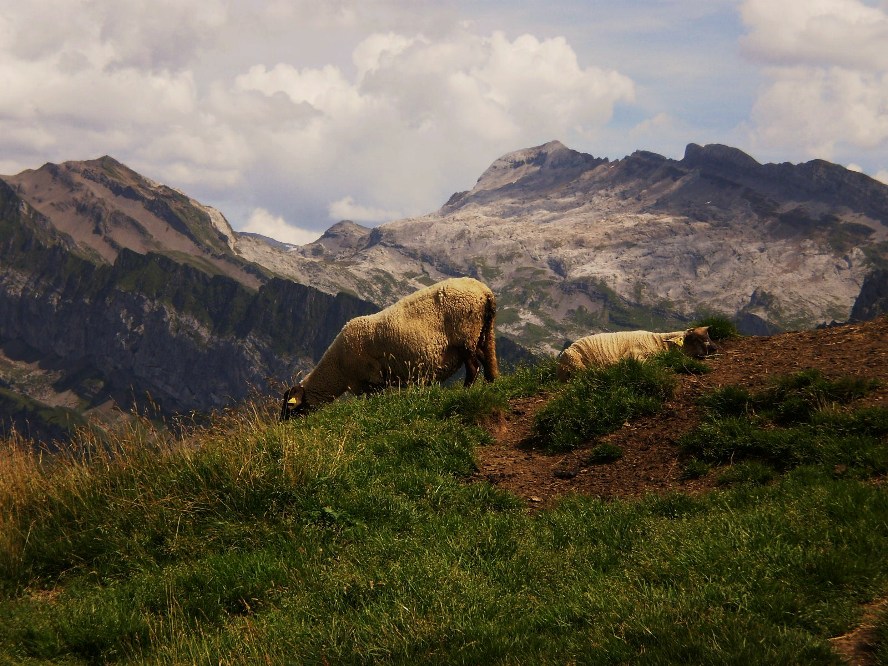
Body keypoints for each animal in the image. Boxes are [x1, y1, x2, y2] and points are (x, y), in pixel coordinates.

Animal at [280, 274, 500, 416]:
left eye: (289, 408)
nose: (283, 425)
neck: (338, 368)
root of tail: (485, 292)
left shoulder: (371, 379)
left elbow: (372, 402)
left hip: (465, 335)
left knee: (473, 367)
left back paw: (467, 391)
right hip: (483, 332)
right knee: (488, 359)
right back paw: (491, 384)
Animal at [560, 326, 720, 378]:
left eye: (708, 336)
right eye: (694, 338)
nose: (714, 348)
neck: (659, 343)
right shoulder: (634, 355)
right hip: (575, 362)